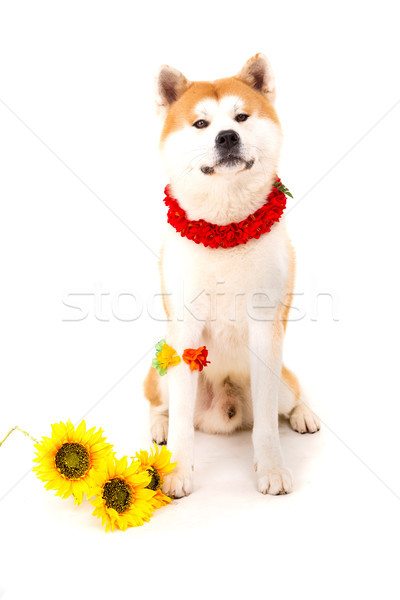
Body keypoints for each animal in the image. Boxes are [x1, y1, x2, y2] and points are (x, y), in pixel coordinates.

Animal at [143, 55, 318, 496]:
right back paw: (159, 425)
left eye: (241, 117)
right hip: (163, 369)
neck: (225, 229)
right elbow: (183, 424)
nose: (227, 137)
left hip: (281, 382)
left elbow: (267, 429)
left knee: (289, 399)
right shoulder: (184, 332)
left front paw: (271, 468)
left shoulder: (266, 330)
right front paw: (178, 472)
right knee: (160, 403)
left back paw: (304, 415)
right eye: (201, 123)